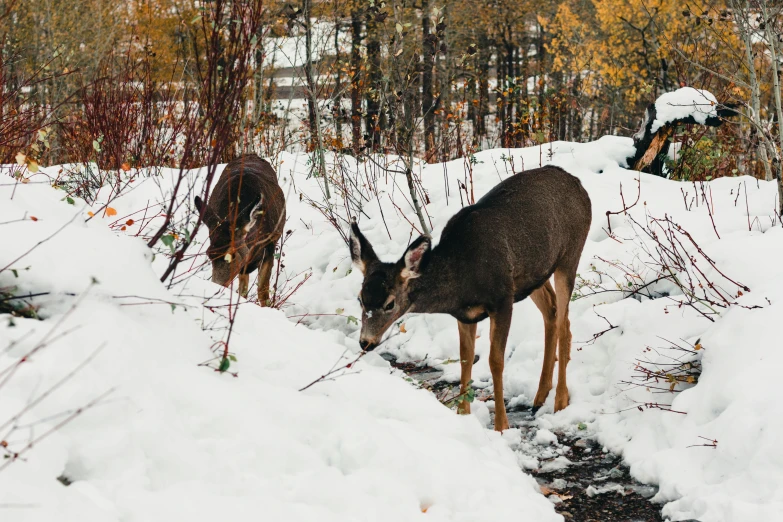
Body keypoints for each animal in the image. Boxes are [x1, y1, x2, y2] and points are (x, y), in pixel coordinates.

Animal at [350, 165, 596, 428]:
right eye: (360, 298)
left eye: (390, 303)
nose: (365, 342)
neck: (462, 279)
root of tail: (577, 183)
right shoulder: (465, 314)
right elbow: (465, 358)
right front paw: (463, 416)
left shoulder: (502, 299)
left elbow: (495, 361)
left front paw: (501, 426)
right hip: (534, 274)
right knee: (552, 312)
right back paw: (540, 396)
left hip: (570, 255)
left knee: (563, 323)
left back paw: (560, 400)